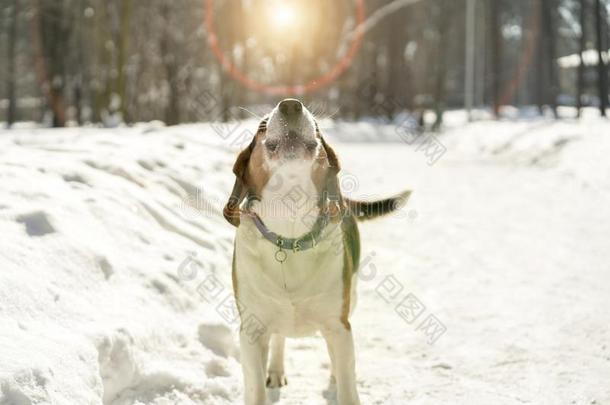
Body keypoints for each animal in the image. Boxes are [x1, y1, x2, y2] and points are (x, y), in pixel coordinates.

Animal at [223, 98, 408, 404]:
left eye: (318, 128)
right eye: (262, 125)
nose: (290, 105)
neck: (290, 234)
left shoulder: (338, 325)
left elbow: (347, 383)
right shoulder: (251, 331)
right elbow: (256, 389)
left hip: (350, 301)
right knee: (279, 337)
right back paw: (275, 370)